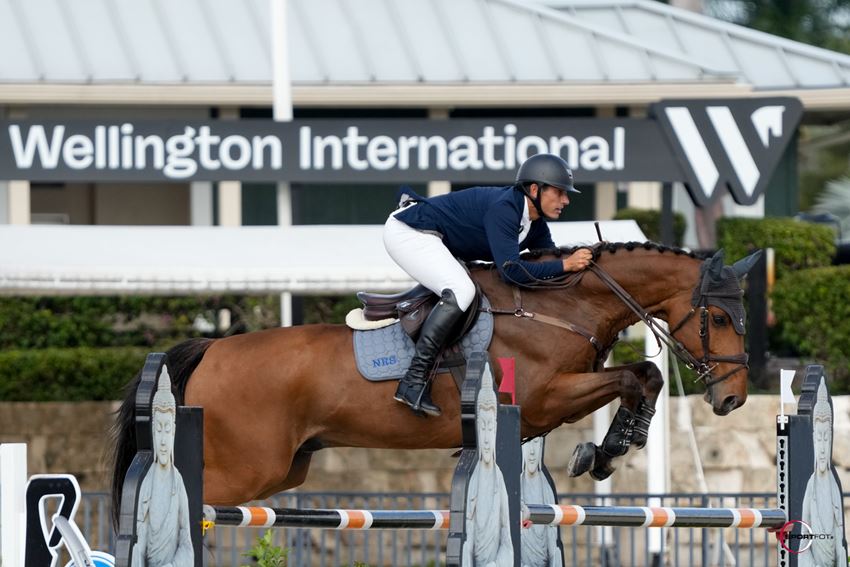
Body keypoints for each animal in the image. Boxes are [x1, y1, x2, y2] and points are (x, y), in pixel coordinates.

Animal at [107, 242, 760, 516]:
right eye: (720, 318)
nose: (733, 398)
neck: (560, 304)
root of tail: (211, 349)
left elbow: (643, 376)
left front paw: (609, 449)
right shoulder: (544, 398)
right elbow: (634, 376)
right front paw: (601, 452)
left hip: (285, 467)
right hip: (248, 469)